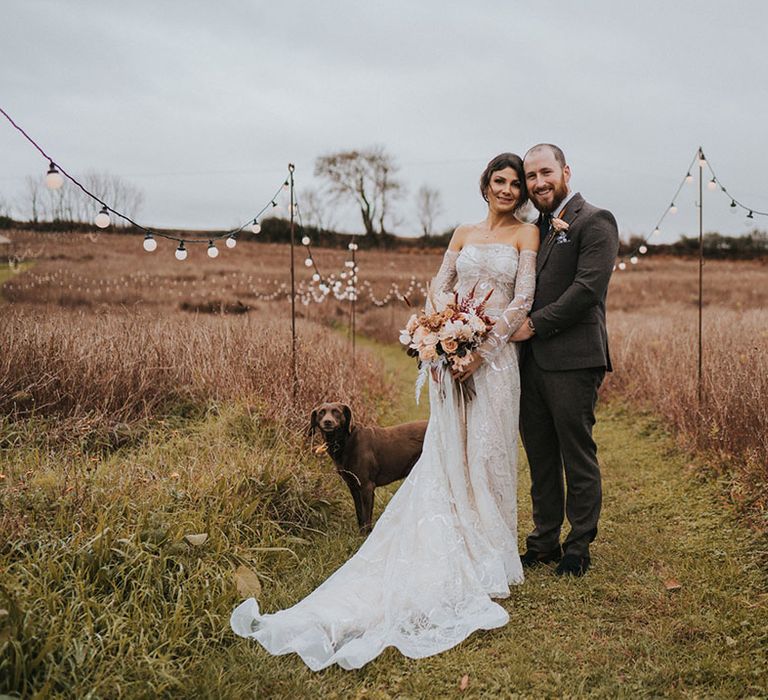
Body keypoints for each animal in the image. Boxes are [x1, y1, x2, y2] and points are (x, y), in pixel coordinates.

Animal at [308, 402, 428, 532]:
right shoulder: (353, 486)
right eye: (321, 412)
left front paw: (366, 534)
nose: (327, 421)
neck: (346, 440)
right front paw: (361, 534)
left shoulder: (367, 486)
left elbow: (366, 517)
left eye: (336, 412)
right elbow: (360, 514)